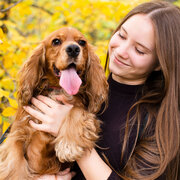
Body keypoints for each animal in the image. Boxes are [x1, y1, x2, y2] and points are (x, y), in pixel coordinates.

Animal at [0, 27, 107, 180]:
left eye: (82, 42)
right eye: (56, 41)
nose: (73, 49)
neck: (58, 90)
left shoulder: (88, 115)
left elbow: (76, 111)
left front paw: (68, 145)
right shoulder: (17, 134)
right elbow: (16, 165)